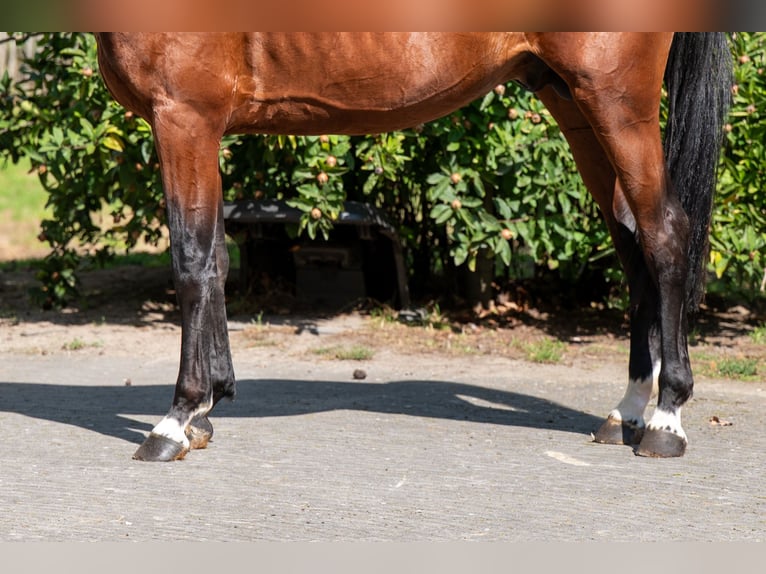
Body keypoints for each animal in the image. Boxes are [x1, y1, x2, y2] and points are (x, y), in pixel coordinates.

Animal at [95, 33, 731, 462]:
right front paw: (206, 410)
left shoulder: (183, 118)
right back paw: (627, 411)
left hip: (617, 103)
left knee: (666, 235)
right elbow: (217, 261)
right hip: (574, 103)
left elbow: (192, 262)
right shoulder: (199, 128)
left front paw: (175, 420)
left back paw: (666, 422)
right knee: (632, 246)